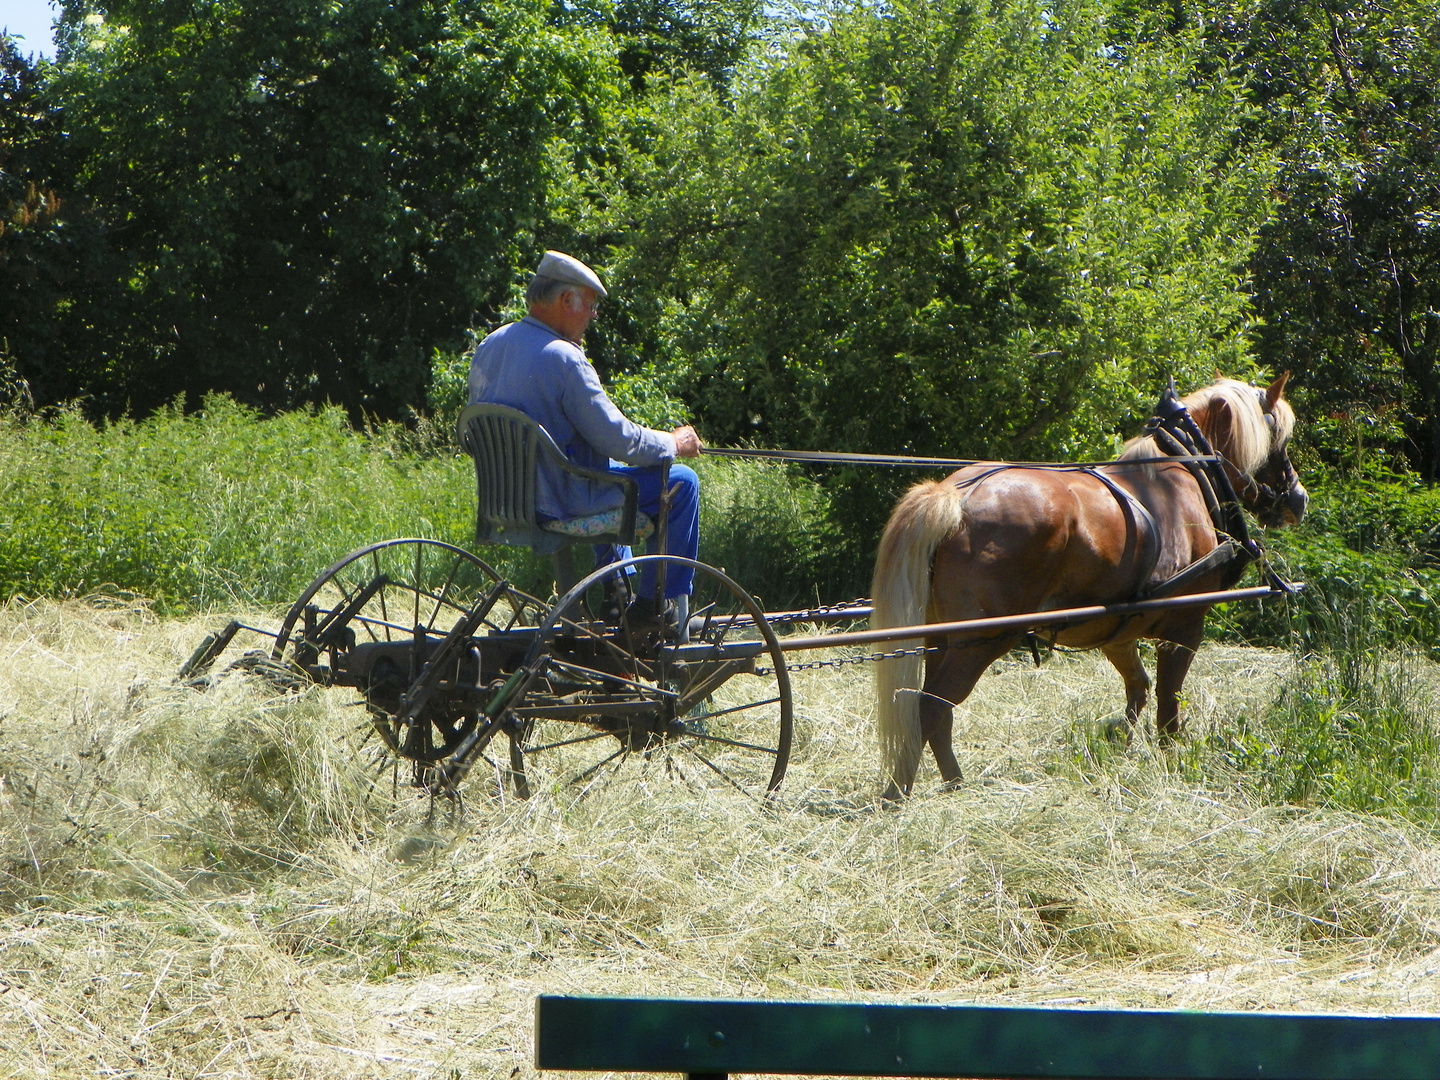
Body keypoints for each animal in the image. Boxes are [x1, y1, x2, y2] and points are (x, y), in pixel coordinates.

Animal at [869, 377, 1313, 800]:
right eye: (1278, 439)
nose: (1299, 498)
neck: (1188, 471)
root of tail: (955, 497)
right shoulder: (1184, 626)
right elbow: (1168, 703)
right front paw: (1171, 760)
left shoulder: (1118, 630)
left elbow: (1139, 688)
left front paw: (1119, 742)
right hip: (981, 640)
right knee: (931, 706)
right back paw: (903, 793)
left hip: (941, 637)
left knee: (931, 707)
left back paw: (945, 783)